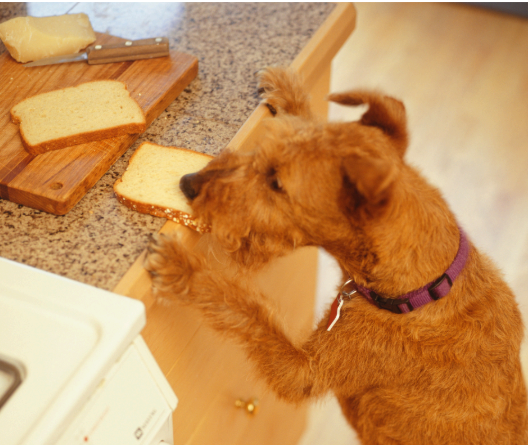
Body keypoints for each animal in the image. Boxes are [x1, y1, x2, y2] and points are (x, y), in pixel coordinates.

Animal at [145, 67, 528, 444]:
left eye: (277, 184)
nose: (188, 183)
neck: (424, 288)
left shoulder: (305, 370)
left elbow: (249, 314)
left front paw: (183, 269)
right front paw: (289, 94)